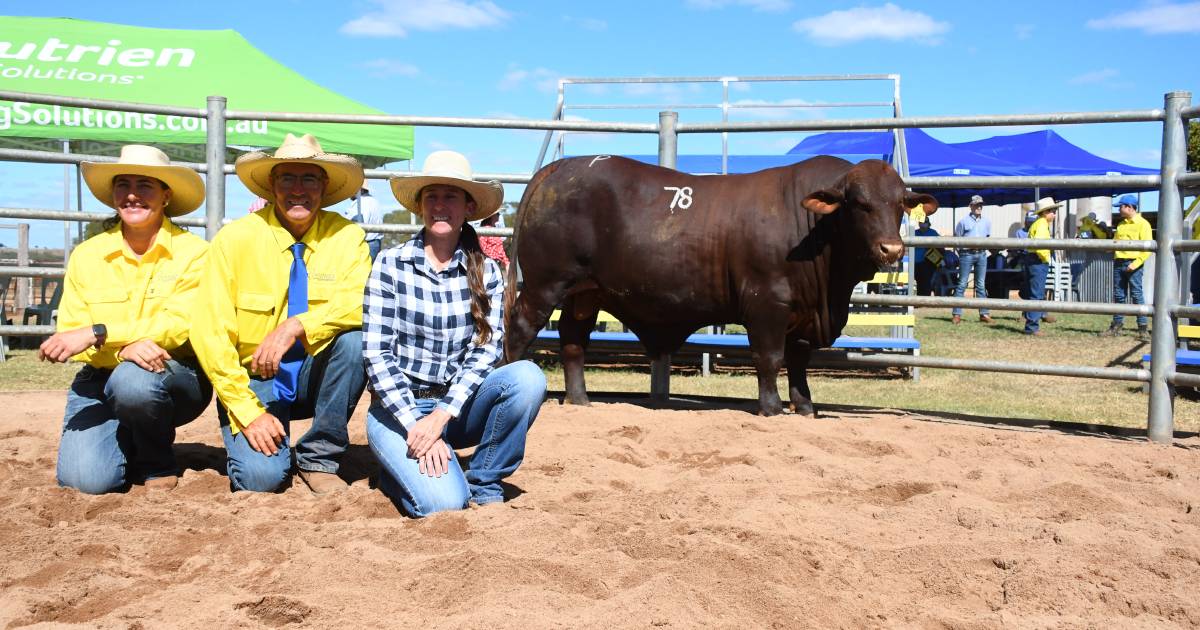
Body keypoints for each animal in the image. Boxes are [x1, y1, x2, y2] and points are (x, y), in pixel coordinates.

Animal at [501, 154, 931, 415]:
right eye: (859, 203)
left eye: (900, 204)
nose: (892, 248)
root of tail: (563, 166)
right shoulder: (767, 304)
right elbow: (769, 358)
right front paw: (772, 408)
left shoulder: (805, 314)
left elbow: (798, 361)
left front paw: (806, 407)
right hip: (545, 284)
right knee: (520, 329)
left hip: (585, 294)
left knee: (573, 339)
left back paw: (580, 400)